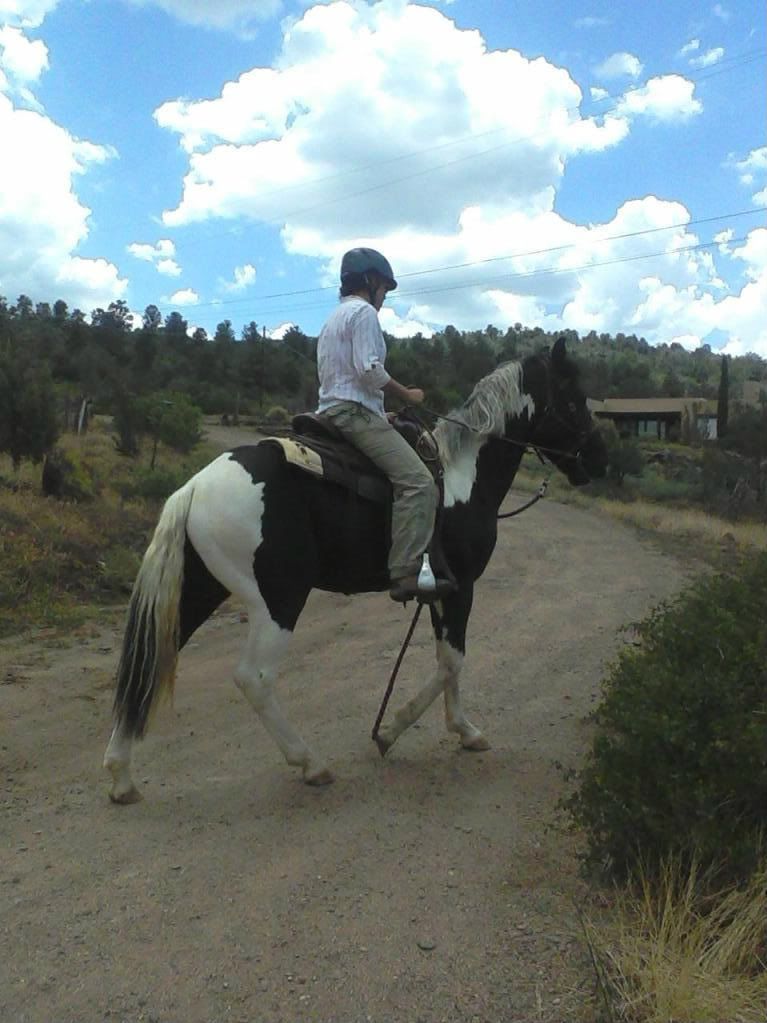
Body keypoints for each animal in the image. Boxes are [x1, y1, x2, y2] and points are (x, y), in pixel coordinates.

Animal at [103, 336, 607, 802]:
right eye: (574, 397)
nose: (599, 459)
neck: (462, 478)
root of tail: (192, 487)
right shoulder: (461, 586)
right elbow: (452, 661)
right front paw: (395, 730)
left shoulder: (438, 589)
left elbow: (446, 660)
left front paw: (459, 729)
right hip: (279, 597)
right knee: (255, 678)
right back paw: (310, 763)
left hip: (201, 589)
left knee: (149, 661)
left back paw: (121, 776)